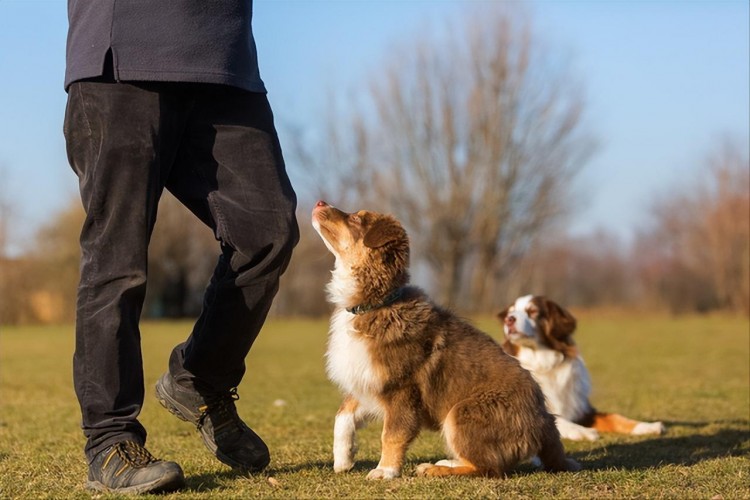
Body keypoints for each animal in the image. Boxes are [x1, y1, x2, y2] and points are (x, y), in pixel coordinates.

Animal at [312, 202, 580, 480]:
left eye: (356, 218)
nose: (320, 203)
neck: (375, 305)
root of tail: (544, 419)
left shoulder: (401, 390)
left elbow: (392, 434)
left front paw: (385, 471)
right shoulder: (367, 380)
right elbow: (342, 416)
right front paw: (343, 459)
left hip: (462, 413)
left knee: (488, 468)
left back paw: (433, 469)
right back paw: (445, 463)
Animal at [502, 296, 668, 442]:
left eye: (533, 311)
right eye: (511, 312)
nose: (508, 320)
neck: (543, 363)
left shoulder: (582, 410)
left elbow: (615, 417)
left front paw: (648, 426)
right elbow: (556, 419)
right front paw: (583, 431)